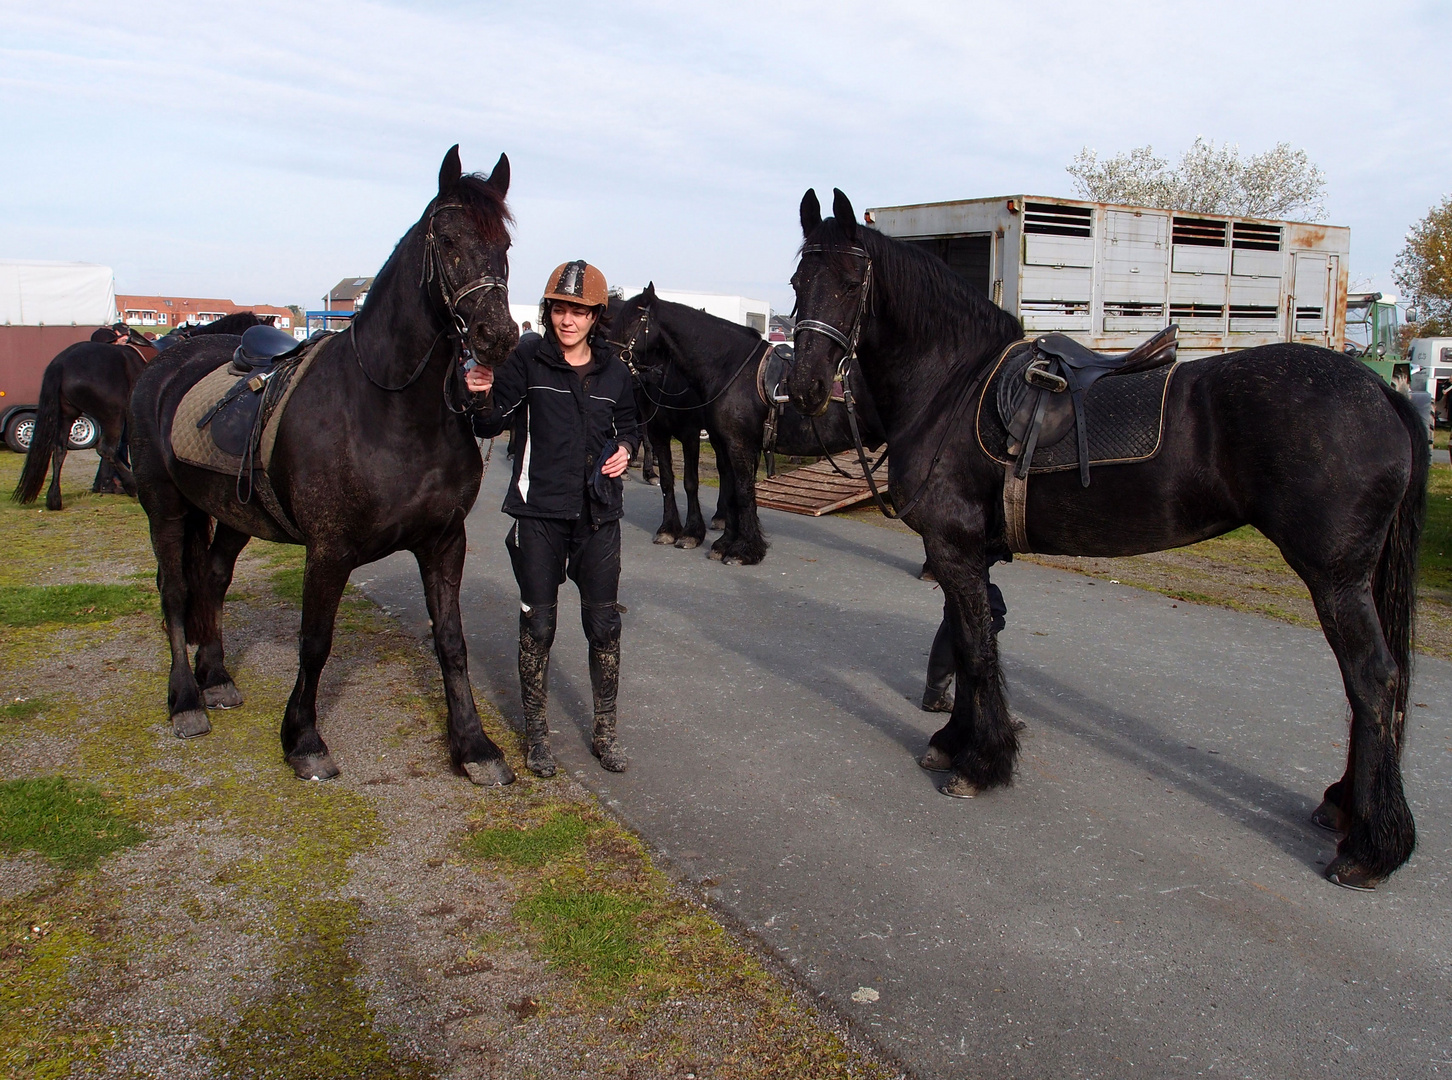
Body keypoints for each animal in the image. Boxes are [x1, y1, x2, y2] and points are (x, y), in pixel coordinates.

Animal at [12, 312, 264, 513]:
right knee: (106, 449)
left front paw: (105, 484)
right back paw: (130, 484)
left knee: (60, 449)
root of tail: (61, 362)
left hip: (69, 414)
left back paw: (55, 498)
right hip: (111, 414)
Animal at [127, 147, 519, 783]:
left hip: (232, 515)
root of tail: (165, 363)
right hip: (164, 506)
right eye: (448, 238)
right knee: (176, 591)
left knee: (211, 579)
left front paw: (474, 745)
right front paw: (304, 738)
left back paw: (216, 677)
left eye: (504, 245)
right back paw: (186, 699)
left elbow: (452, 642)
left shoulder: (444, 542)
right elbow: (315, 642)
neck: (390, 410)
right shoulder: (329, 550)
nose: (498, 335)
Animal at [612, 278, 882, 566]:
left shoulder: (729, 442)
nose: (610, 358)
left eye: (631, 319)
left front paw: (743, 549)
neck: (731, 366)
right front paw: (724, 543)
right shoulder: (719, 442)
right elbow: (727, 490)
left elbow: (739, 491)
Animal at [789, 190, 1422, 888]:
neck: (950, 388)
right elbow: (965, 641)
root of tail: (1382, 391)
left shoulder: (953, 549)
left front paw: (981, 765)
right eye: (798, 282)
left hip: (1334, 577)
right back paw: (1346, 809)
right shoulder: (963, 554)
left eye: (852, 282)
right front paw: (954, 745)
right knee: (1370, 687)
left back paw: (1371, 847)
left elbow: (977, 652)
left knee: (1373, 679)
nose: (805, 387)